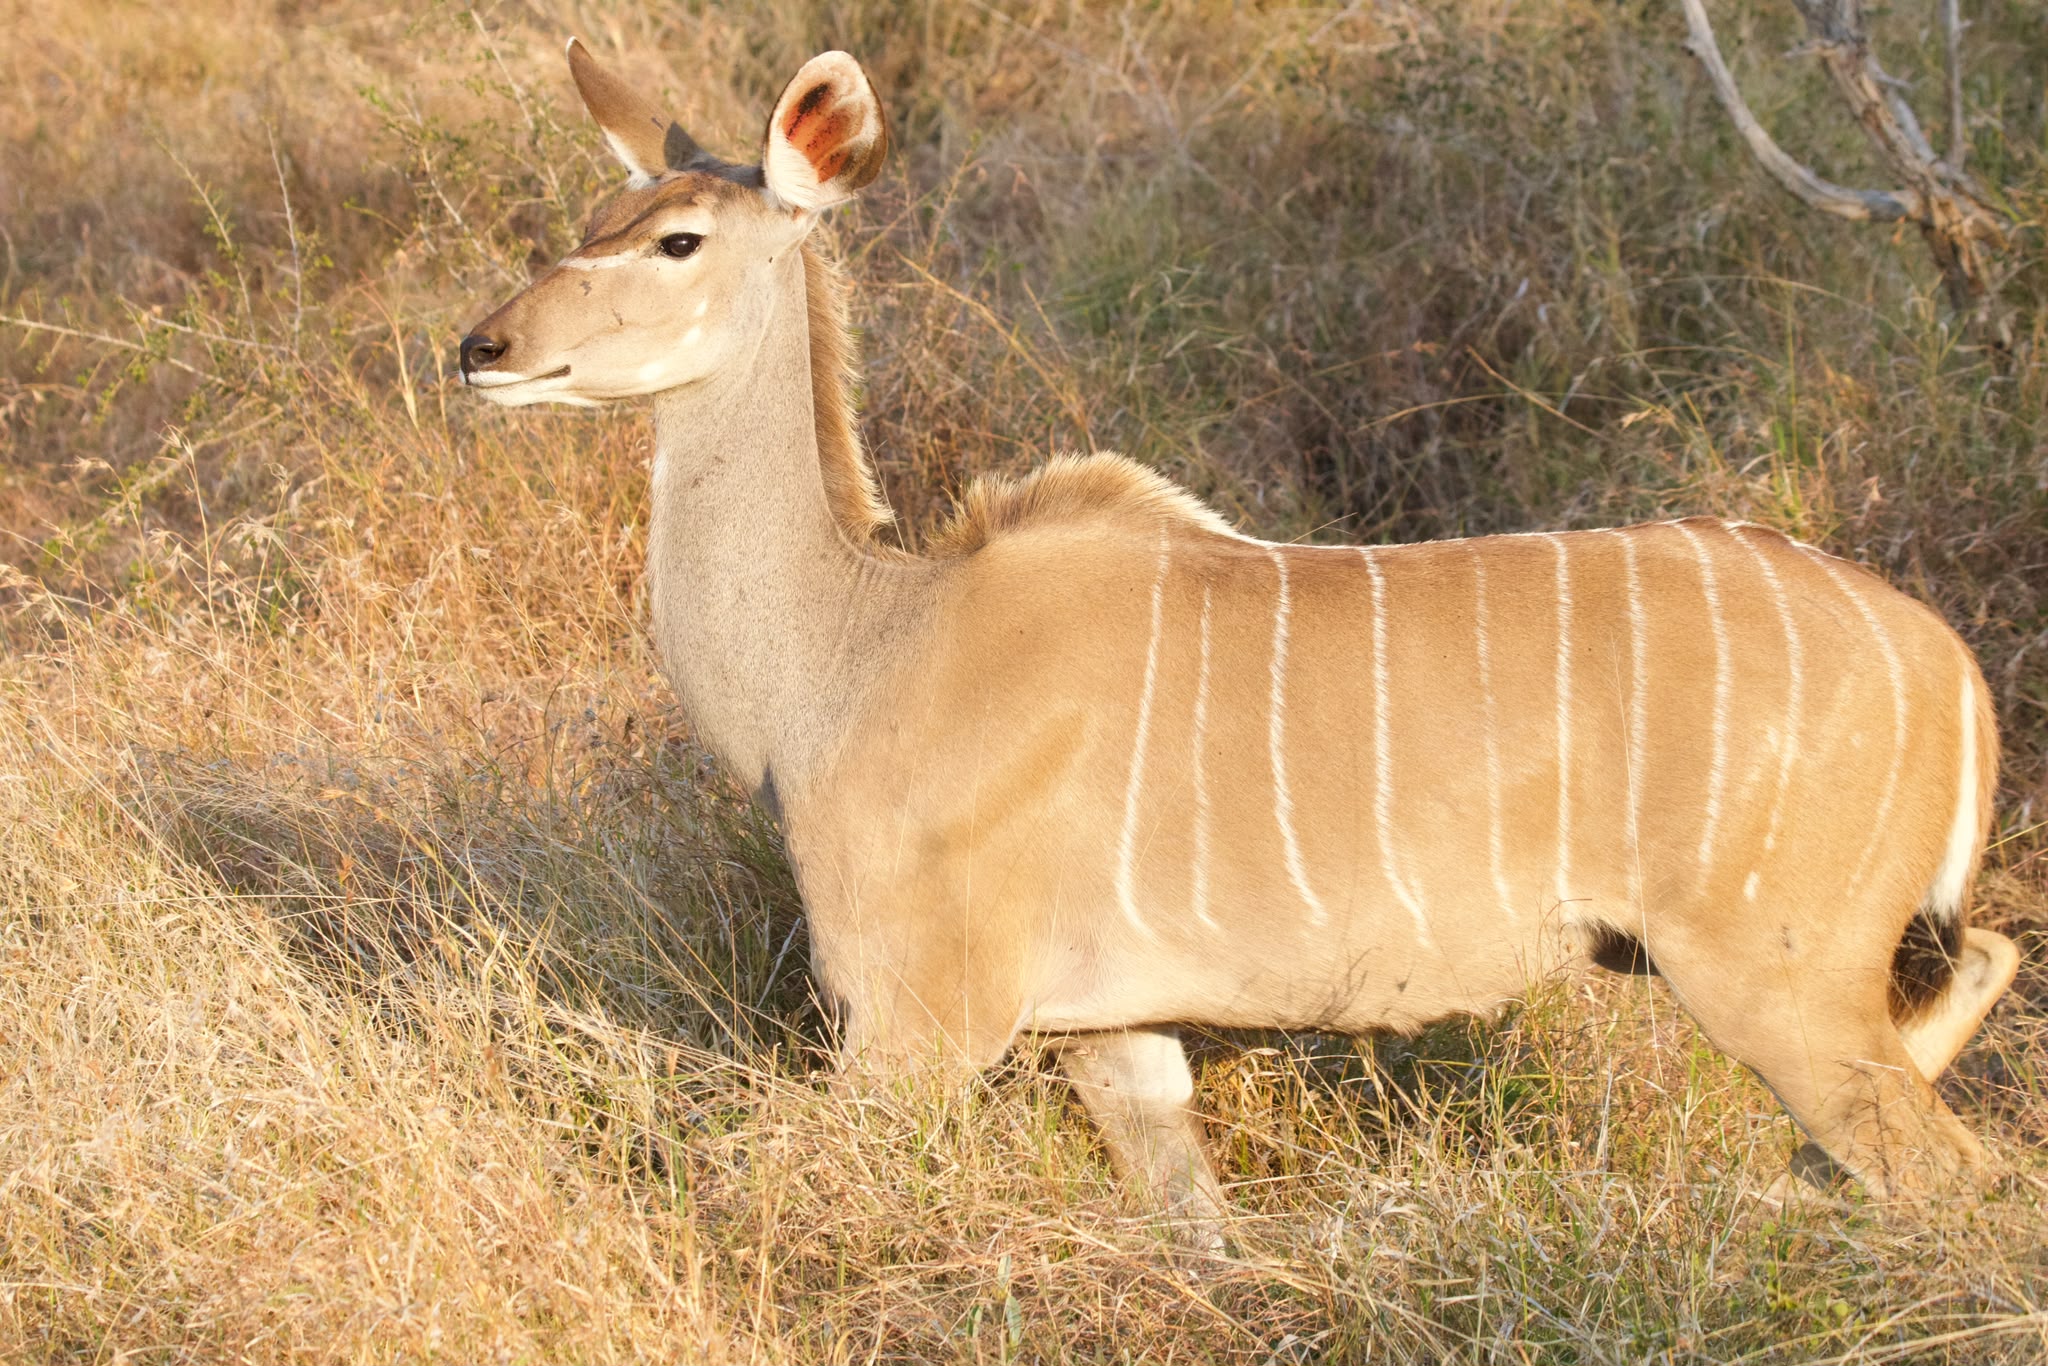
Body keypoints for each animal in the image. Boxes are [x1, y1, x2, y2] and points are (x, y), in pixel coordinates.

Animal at [460, 40, 2022, 1237]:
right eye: (587, 215)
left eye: (676, 240)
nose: (483, 347)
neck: (851, 651)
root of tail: (1947, 665)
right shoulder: (1115, 1040)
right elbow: (1200, 1234)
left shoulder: (914, 1024)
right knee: (1985, 975)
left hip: (1778, 984)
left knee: (1963, 1182)